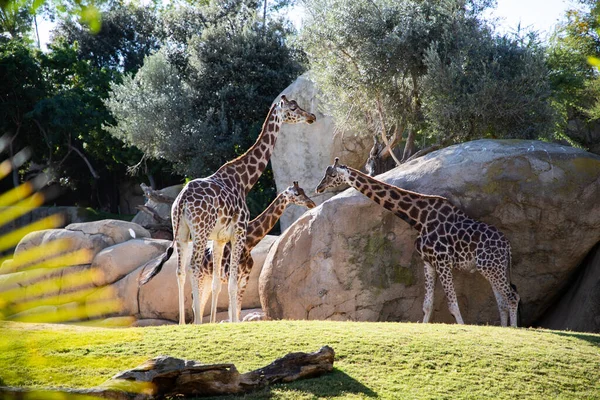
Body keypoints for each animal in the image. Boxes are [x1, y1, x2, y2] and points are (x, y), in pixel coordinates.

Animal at [139, 95, 316, 324]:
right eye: (293, 108)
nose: (311, 117)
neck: (242, 181)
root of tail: (182, 200)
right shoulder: (238, 231)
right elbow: (230, 286)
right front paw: (231, 323)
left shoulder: (220, 238)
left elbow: (217, 284)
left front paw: (215, 322)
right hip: (200, 230)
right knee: (193, 267)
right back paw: (196, 322)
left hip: (182, 231)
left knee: (180, 271)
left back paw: (182, 323)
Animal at [314, 158, 520, 326]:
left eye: (332, 175)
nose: (318, 188)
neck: (420, 219)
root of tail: (508, 246)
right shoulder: (428, 262)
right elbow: (427, 304)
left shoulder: (443, 261)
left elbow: (452, 304)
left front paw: (463, 328)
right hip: (491, 268)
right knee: (502, 300)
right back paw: (504, 328)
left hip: (492, 267)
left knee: (512, 296)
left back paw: (514, 329)